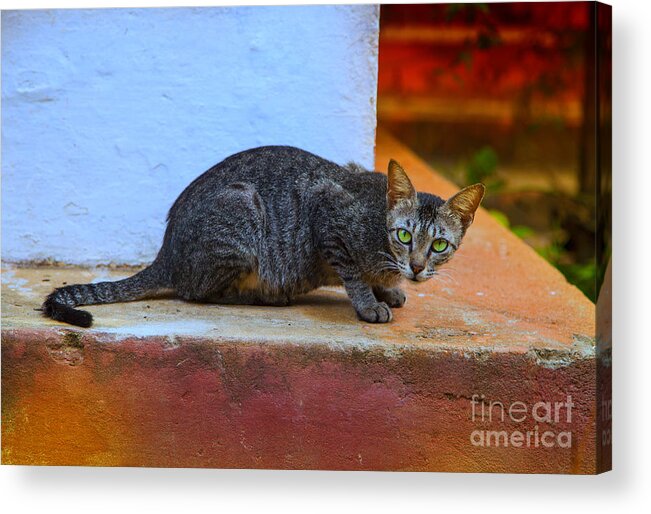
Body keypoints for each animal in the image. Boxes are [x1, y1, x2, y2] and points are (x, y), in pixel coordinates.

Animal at [42, 146, 484, 326]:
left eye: (439, 245)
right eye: (404, 236)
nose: (416, 267)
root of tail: (166, 252)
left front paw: (388, 290)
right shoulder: (327, 213)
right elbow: (353, 275)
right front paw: (370, 302)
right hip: (243, 215)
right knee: (198, 292)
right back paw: (266, 296)